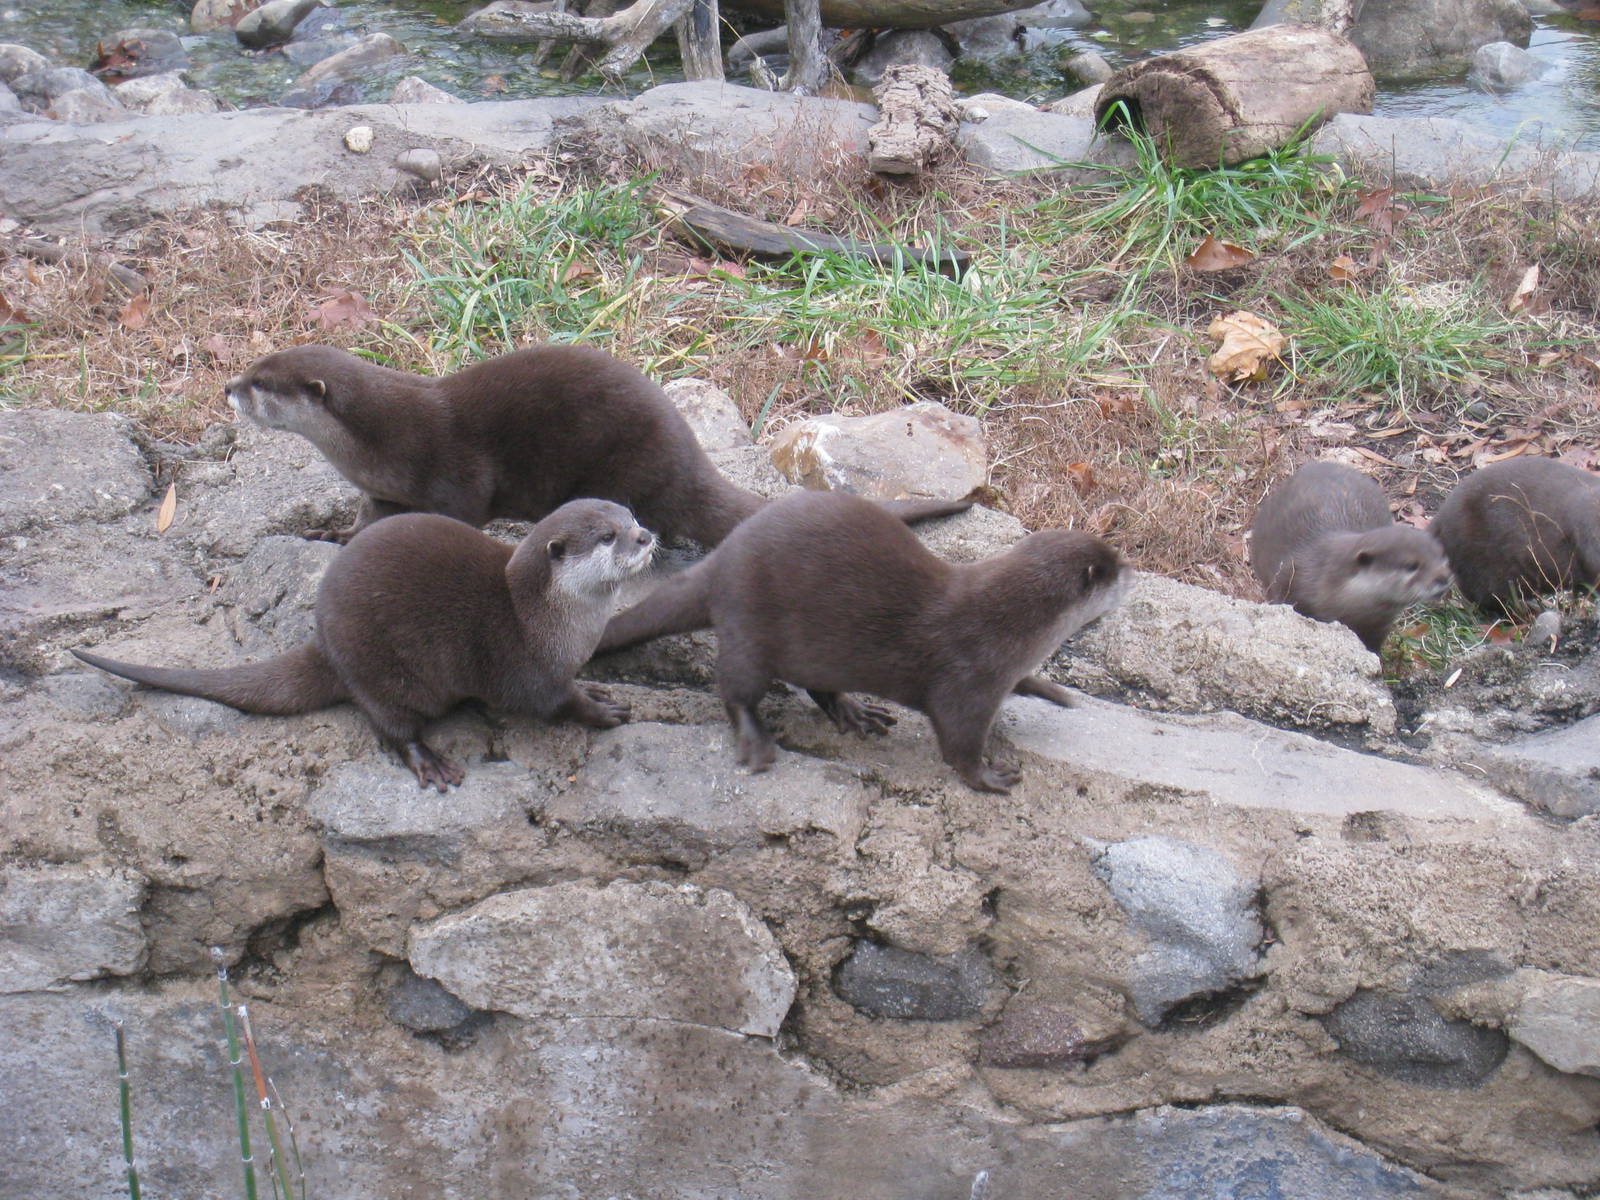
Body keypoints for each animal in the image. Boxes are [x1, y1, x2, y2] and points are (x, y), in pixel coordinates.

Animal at [72, 500, 654, 791]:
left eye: (631, 517)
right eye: (606, 537)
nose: (646, 537)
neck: (546, 615)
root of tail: (325, 642)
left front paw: (596, 692)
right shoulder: (523, 664)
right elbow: (551, 703)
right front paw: (598, 712)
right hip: (380, 669)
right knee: (391, 727)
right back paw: (430, 763)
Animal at [227, 343, 969, 544]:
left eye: (261, 383)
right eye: (253, 366)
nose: (227, 387)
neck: (376, 438)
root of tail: (688, 458)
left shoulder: (451, 469)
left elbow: (460, 515)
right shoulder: (381, 484)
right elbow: (369, 517)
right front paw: (336, 535)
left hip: (623, 466)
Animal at [595, 491, 1127, 793]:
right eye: (1114, 568)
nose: (1133, 570)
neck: (1008, 623)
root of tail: (721, 560)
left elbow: (1027, 684)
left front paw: (1051, 690)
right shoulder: (968, 680)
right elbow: (958, 746)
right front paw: (989, 777)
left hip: (813, 650)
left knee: (816, 685)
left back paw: (853, 711)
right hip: (748, 626)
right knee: (734, 688)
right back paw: (756, 739)